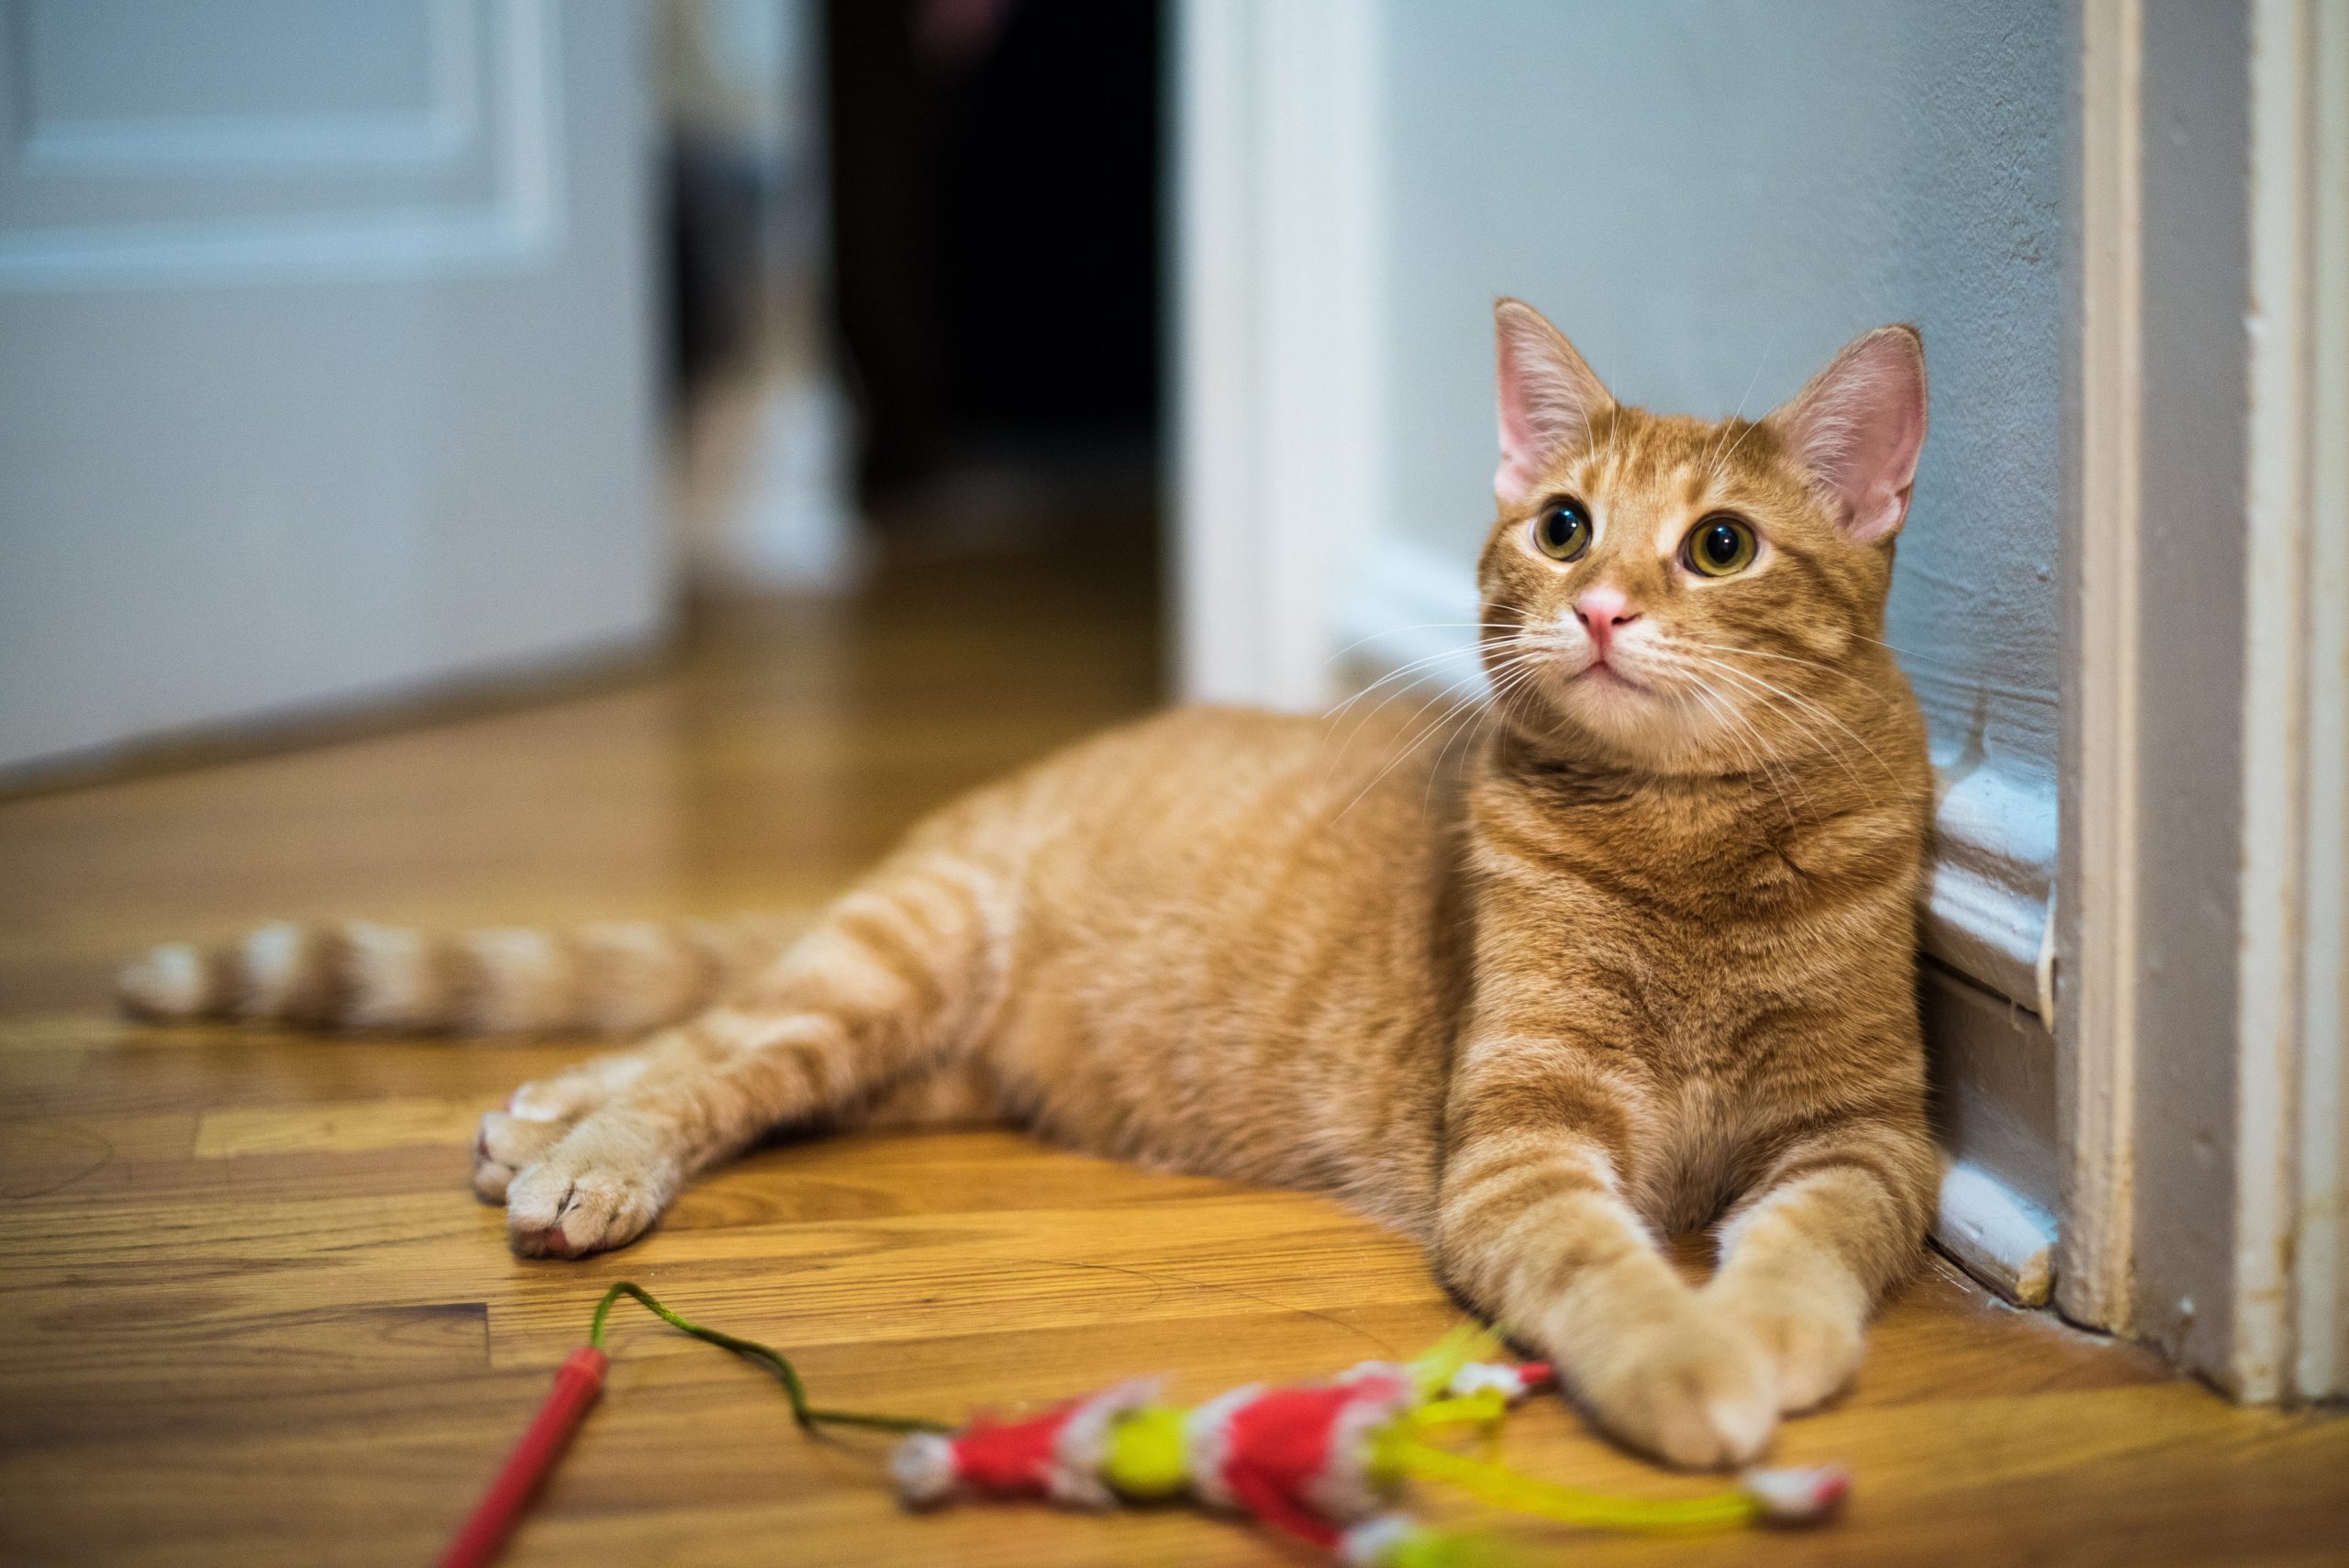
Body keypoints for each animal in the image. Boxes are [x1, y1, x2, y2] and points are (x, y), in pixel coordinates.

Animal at [118, 303, 1935, 1473]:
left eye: (1718, 548)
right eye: (1561, 526)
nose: (1603, 608)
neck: (1685, 854)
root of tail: (993, 798)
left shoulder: (1868, 1139)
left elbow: (1810, 1241)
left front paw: (1772, 1328)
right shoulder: (1520, 1149)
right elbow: (1604, 1266)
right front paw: (1694, 1358)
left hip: (900, 1062)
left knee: (710, 1041)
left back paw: (548, 1114)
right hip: (884, 969)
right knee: (712, 1050)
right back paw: (585, 1152)